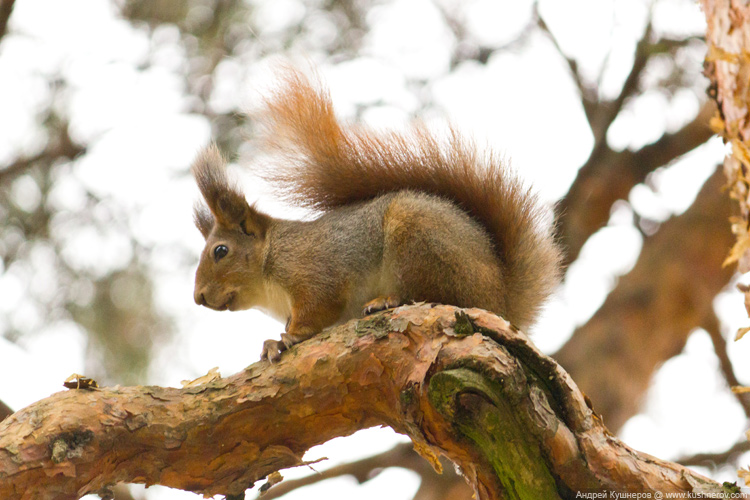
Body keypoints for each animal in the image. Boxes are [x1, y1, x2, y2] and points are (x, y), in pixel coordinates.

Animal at [194, 68, 564, 362]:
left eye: (221, 251)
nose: (198, 297)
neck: (272, 259)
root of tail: (502, 297)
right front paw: (272, 343)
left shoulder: (315, 273)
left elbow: (318, 308)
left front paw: (291, 336)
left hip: (421, 241)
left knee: (432, 293)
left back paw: (387, 300)